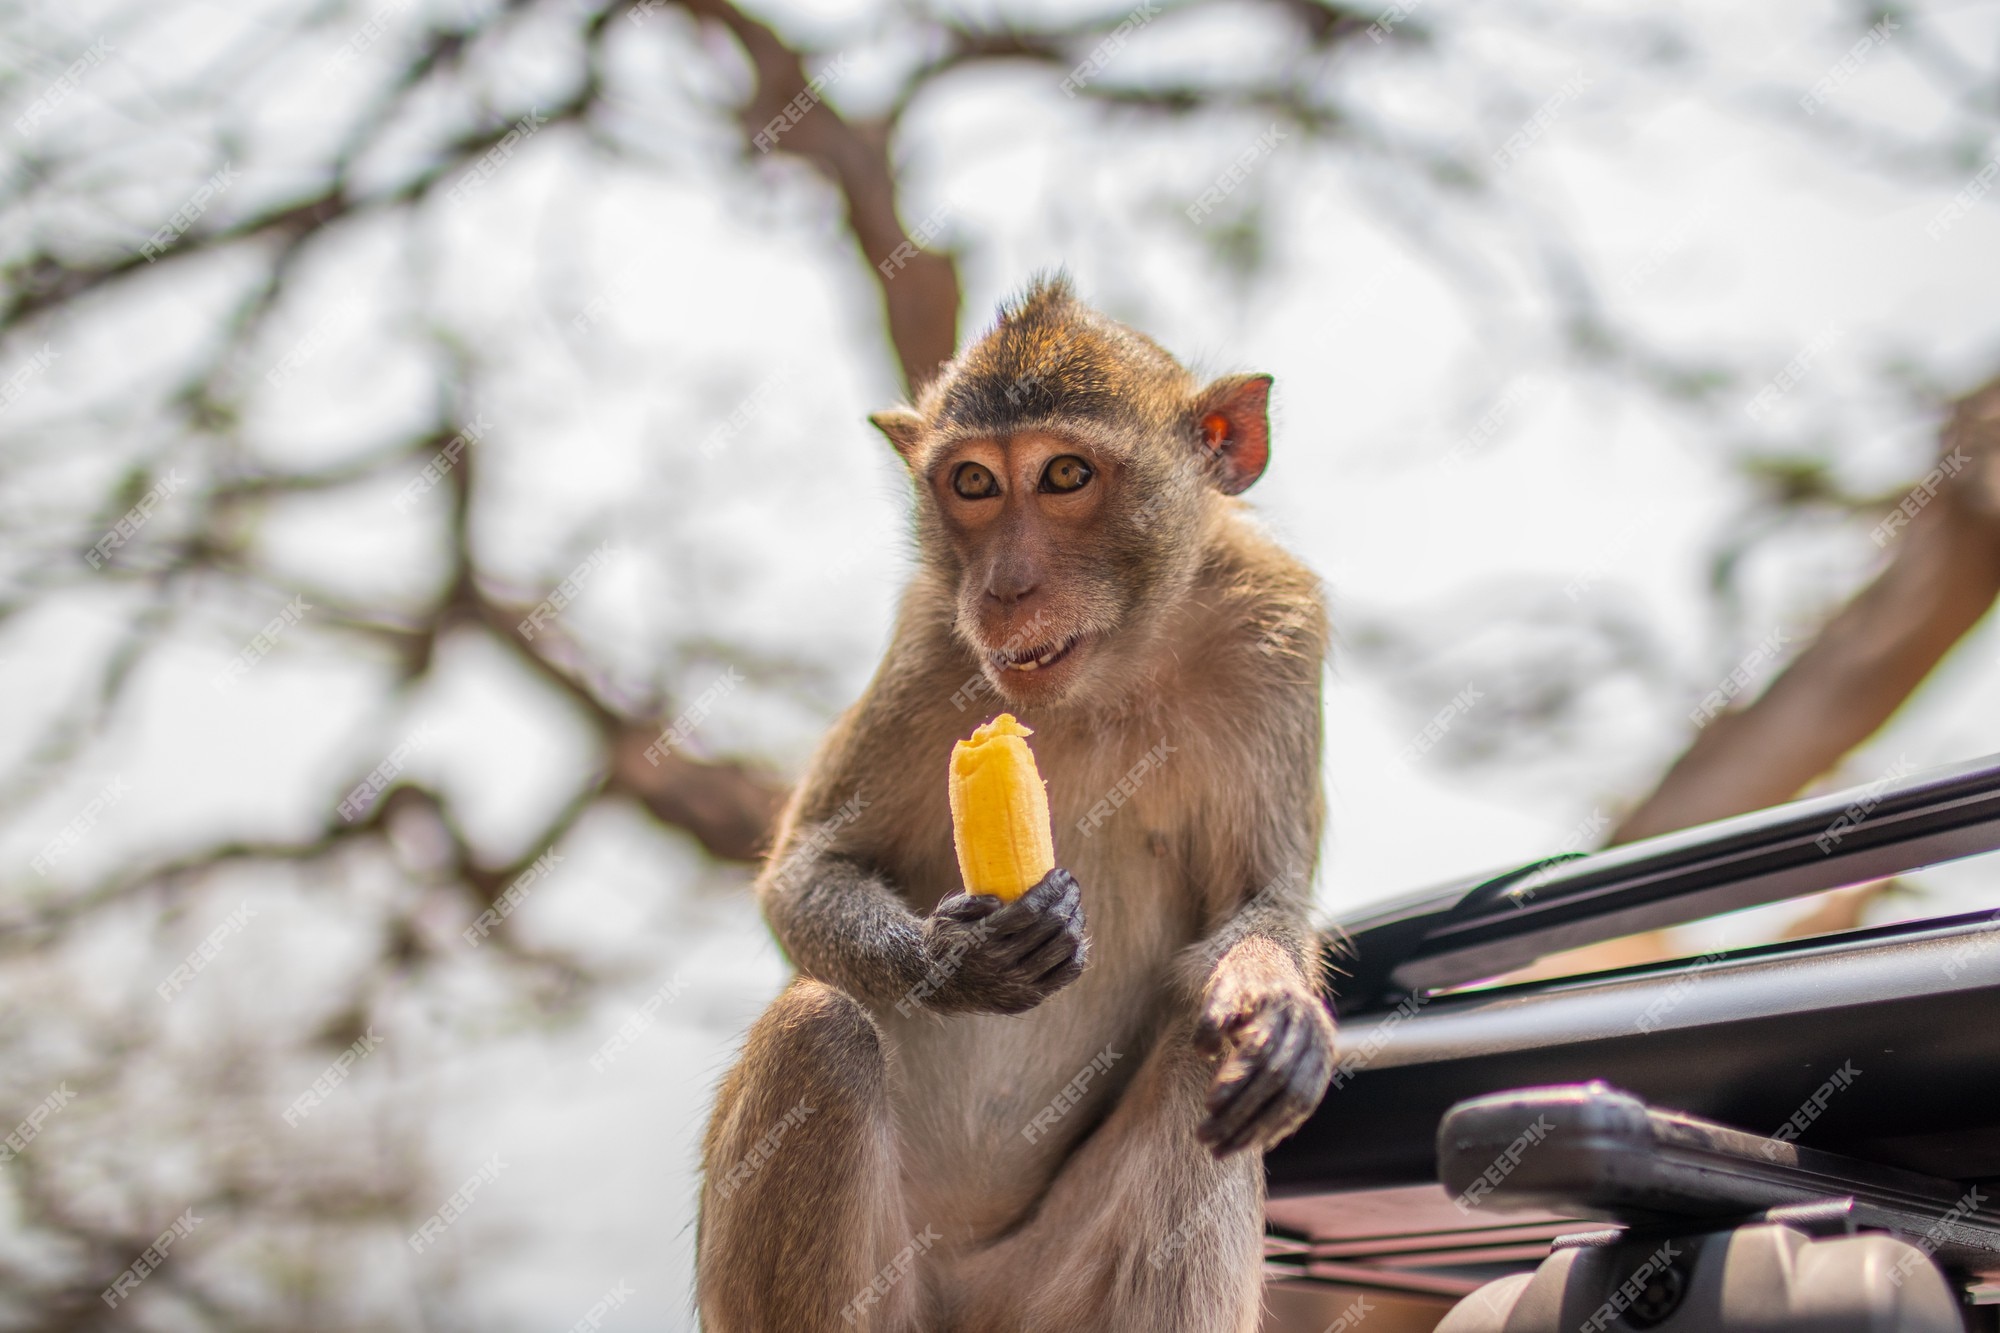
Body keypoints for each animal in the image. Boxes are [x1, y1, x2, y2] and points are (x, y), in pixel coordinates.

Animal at [696, 272, 1336, 1328]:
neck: (1110, 669)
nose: (1004, 588)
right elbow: (810, 864)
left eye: (1066, 475)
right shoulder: (929, 637)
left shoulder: (1277, 630)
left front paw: (1271, 1000)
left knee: (1203, 1064)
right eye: (974, 484)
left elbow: (1259, 902)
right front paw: (954, 957)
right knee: (818, 1030)